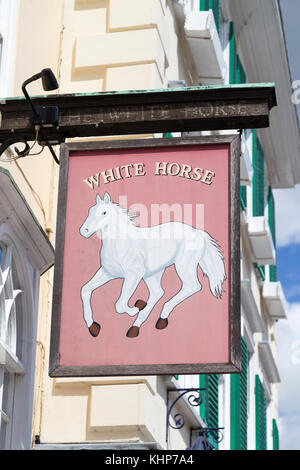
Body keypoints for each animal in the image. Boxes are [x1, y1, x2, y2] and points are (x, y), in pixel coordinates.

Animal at [78, 193, 226, 340]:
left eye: (104, 212)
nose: (84, 231)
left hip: (183, 266)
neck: (120, 243)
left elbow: (120, 304)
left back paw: (154, 316)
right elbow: (85, 290)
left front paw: (134, 309)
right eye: (90, 211)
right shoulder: (107, 273)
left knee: (192, 286)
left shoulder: (134, 274)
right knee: (157, 292)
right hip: (153, 274)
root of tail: (198, 232)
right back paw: (140, 325)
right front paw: (93, 327)